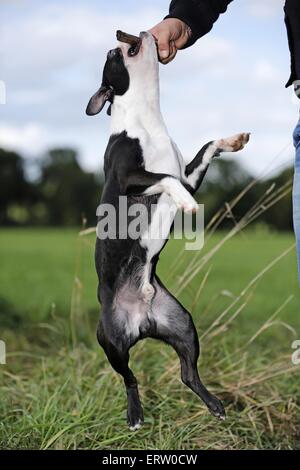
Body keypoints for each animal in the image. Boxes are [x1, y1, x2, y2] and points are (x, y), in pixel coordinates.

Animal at [85, 31, 250, 432]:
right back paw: (135, 416)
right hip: (110, 340)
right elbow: (167, 180)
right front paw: (188, 205)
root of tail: (142, 319)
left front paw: (232, 141)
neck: (146, 118)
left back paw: (214, 405)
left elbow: (205, 148)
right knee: (129, 377)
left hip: (183, 325)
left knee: (187, 373)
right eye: (112, 54)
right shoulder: (131, 178)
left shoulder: (189, 173)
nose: (124, 34)